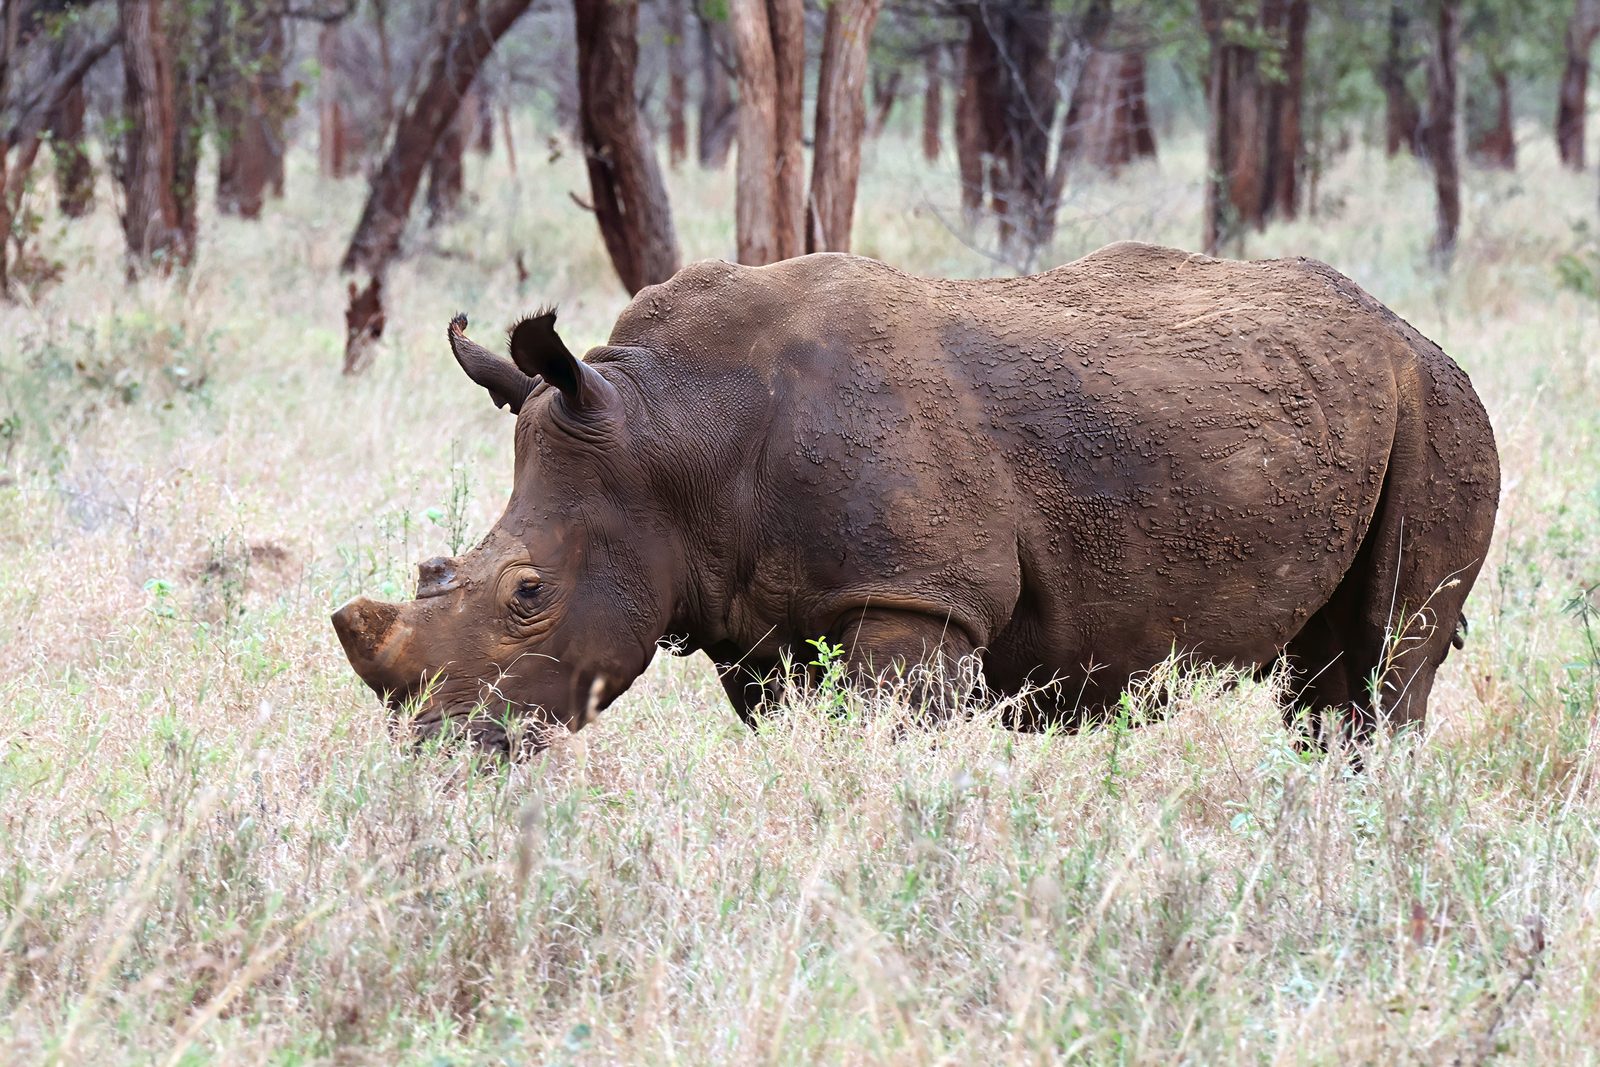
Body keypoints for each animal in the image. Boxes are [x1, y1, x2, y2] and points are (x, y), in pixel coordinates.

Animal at [331, 243, 1500, 754]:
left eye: (527, 593)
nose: (441, 745)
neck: (670, 433)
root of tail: (1412, 330)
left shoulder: (915, 597)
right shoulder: (755, 622)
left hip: (1441, 410)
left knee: (1390, 654)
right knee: (1323, 675)